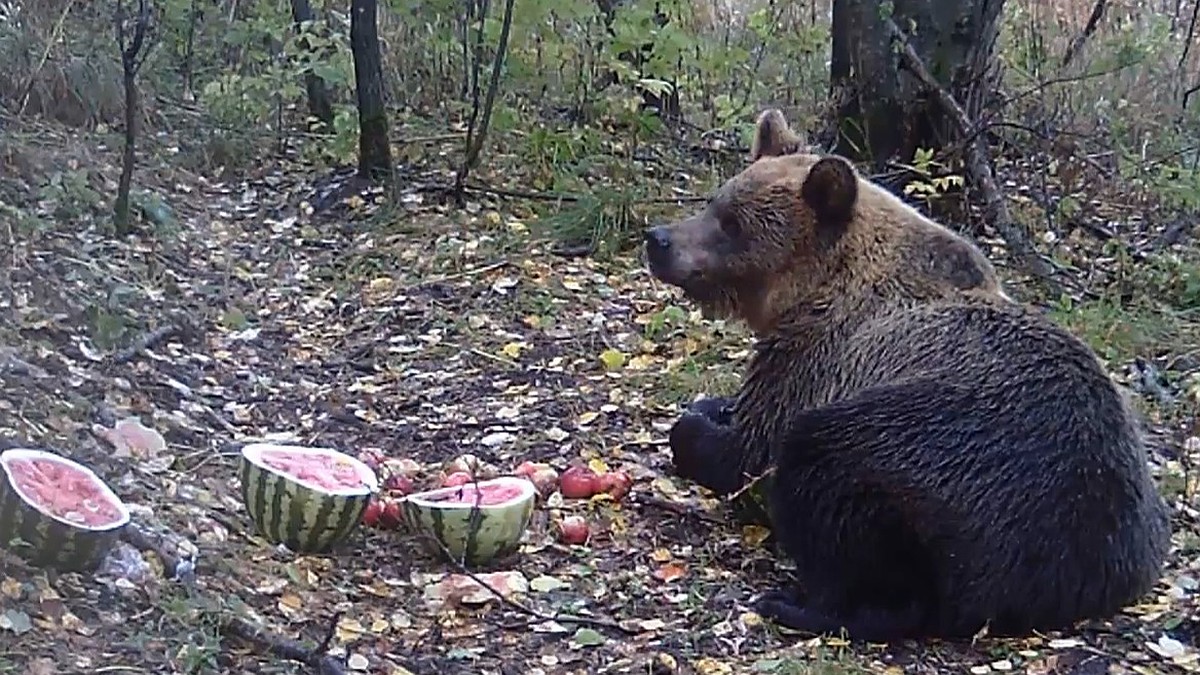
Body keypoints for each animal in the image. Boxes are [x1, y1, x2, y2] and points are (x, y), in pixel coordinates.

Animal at [648, 107, 1171, 638]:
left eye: (732, 224)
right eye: (716, 201)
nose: (659, 240)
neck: (815, 290)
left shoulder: (819, 360)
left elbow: (748, 451)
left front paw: (695, 430)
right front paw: (713, 406)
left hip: (946, 457)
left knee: (833, 483)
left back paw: (796, 603)